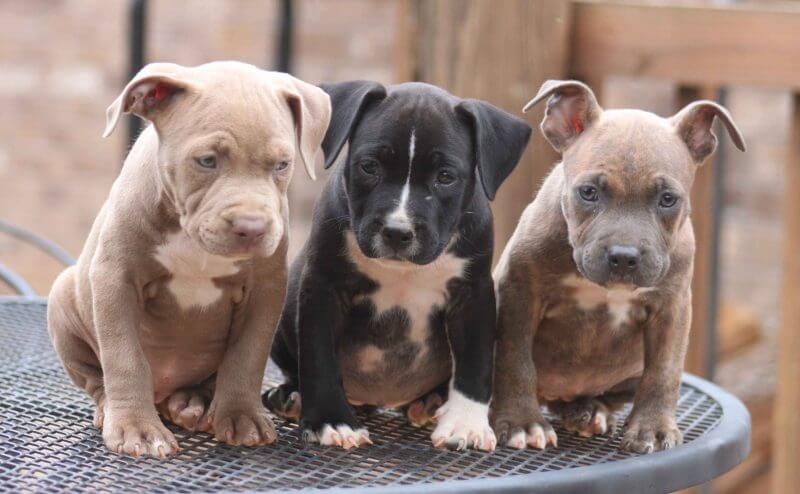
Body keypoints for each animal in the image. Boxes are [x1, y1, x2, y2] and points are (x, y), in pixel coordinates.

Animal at [47, 61, 330, 460]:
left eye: (282, 165)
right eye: (206, 161)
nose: (252, 227)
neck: (190, 234)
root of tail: (164, 394)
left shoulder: (266, 289)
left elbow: (247, 356)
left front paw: (241, 417)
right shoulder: (116, 279)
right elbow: (124, 356)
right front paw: (136, 429)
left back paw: (193, 404)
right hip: (62, 297)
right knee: (97, 378)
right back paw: (113, 409)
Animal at [262, 81, 536, 452]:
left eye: (445, 177)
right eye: (369, 166)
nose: (397, 231)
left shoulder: (474, 294)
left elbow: (475, 361)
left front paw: (465, 423)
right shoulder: (322, 287)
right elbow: (319, 357)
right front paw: (330, 420)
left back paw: (431, 402)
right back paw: (291, 397)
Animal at [490, 80, 748, 452]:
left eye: (668, 199)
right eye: (588, 192)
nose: (624, 257)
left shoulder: (671, 309)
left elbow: (664, 372)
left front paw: (652, 428)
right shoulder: (519, 292)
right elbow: (514, 359)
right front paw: (521, 422)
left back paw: (588, 411)